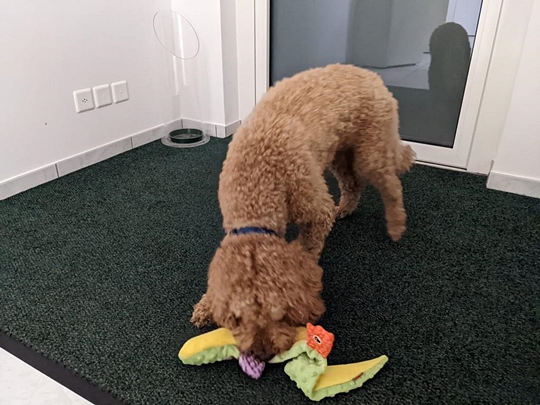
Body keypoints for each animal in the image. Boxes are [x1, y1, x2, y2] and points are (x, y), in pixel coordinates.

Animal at [191, 64, 415, 361]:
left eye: (279, 315)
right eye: (238, 319)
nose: (262, 353)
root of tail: (370, 74)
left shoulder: (316, 210)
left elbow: (309, 248)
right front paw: (205, 306)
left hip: (371, 149)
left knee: (391, 184)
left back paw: (396, 225)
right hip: (340, 151)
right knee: (352, 183)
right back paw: (346, 208)